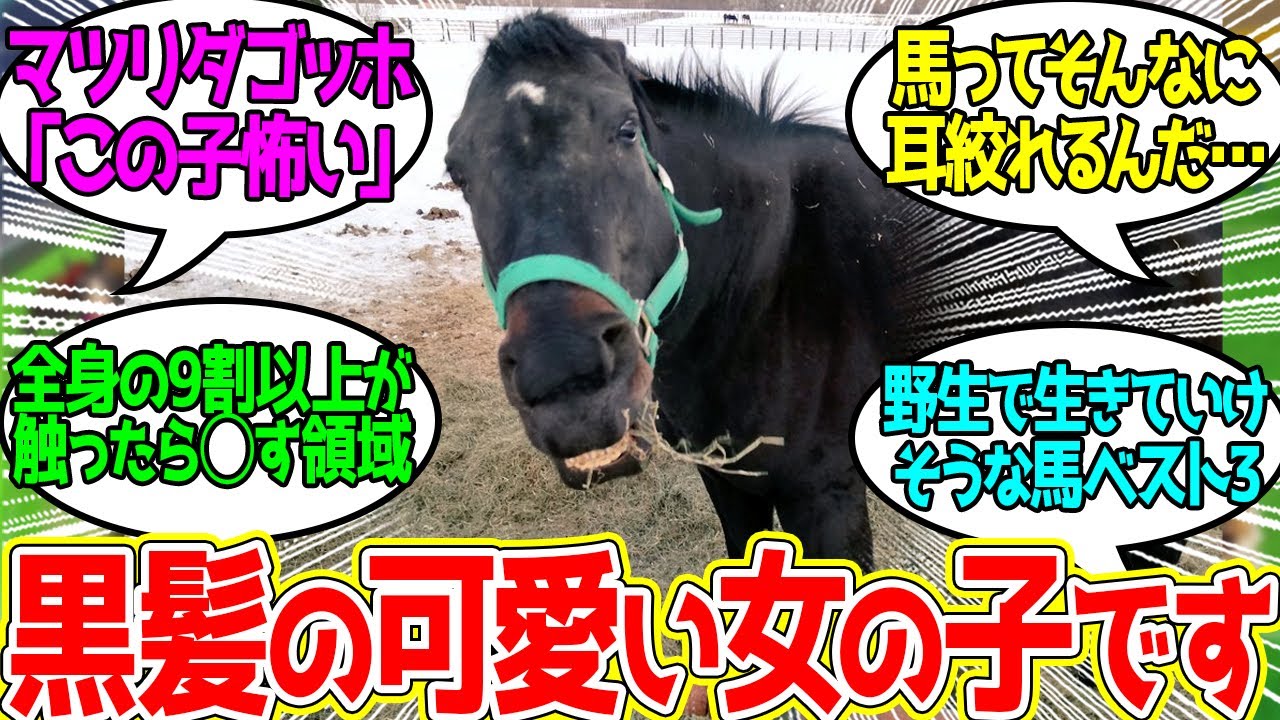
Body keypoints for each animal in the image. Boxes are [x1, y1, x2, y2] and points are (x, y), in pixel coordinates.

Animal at [444, 13, 1217, 571]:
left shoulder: (829, 498)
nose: (568, 385)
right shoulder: (732, 482)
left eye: (626, 129)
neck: (769, 283)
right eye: (456, 169)